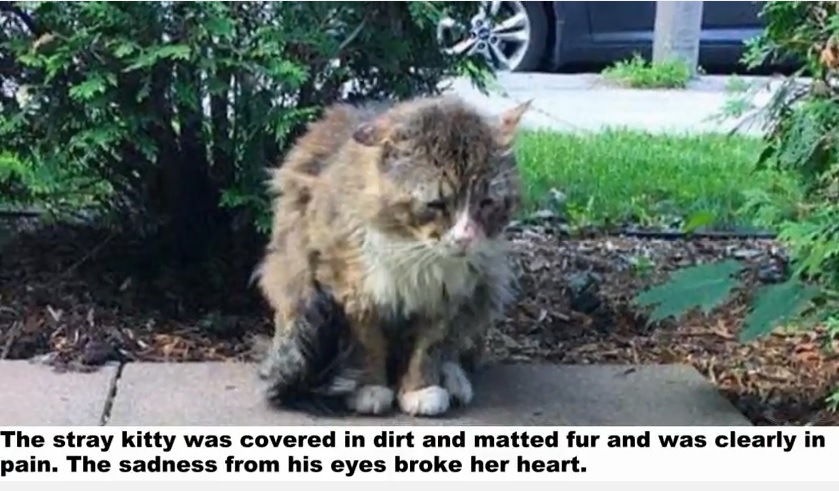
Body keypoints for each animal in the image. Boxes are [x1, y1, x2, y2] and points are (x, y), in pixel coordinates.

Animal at [256, 94, 532, 418]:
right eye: (436, 204)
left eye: (486, 203)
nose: (465, 238)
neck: (414, 252)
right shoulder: (353, 289)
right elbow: (368, 345)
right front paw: (371, 388)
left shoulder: (446, 295)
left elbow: (430, 347)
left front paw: (420, 389)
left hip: (488, 285)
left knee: (456, 348)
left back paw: (454, 379)